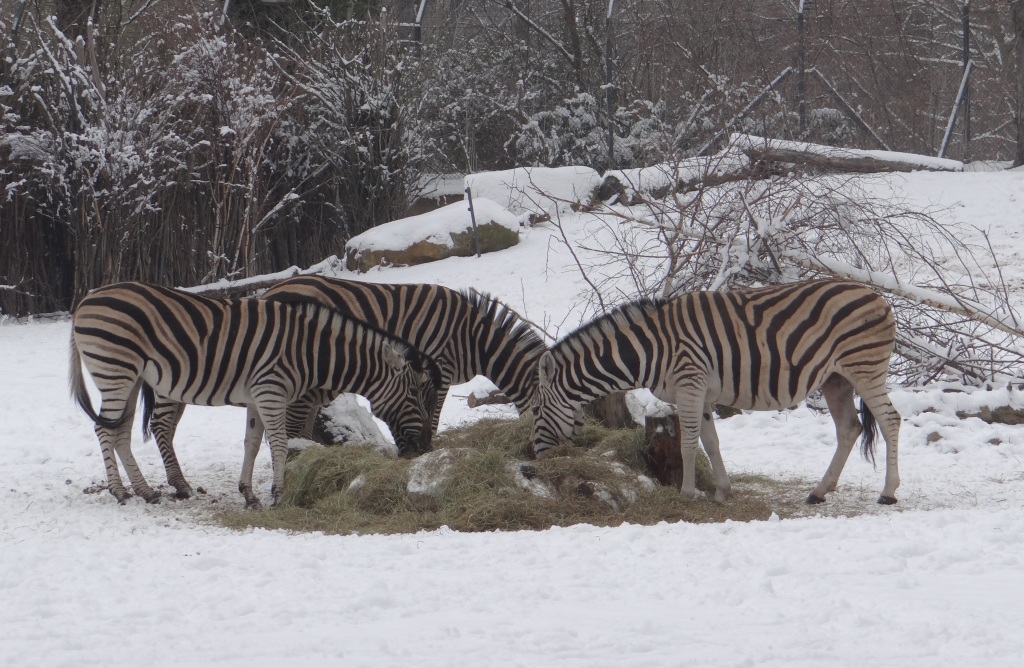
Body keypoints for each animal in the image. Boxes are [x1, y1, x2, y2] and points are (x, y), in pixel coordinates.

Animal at [70, 282, 438, 506]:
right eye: (414, 392)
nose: (423, 446)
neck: (310, 350)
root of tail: (84, 302)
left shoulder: (257, 396)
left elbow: (251, 443)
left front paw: (248, 494)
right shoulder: (271, 391)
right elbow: (278, 443)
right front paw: (279, 493)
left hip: (130, 378)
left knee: (120, 432)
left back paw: (146, 491)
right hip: (116, 372)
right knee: (104, 428)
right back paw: (121, 491)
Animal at [532, 278, 901, 504]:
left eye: (535, 411)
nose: (536, 457)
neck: (651, 349)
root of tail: (879, 296)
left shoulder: (690, 384)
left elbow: (689, 444)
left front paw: (686, 493)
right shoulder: (703, 395)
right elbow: (711, 443)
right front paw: (722, 492)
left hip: (865, 368)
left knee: (890, 420)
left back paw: (888, 492)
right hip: (835, 379)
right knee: (849, 428)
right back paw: (819, 492)